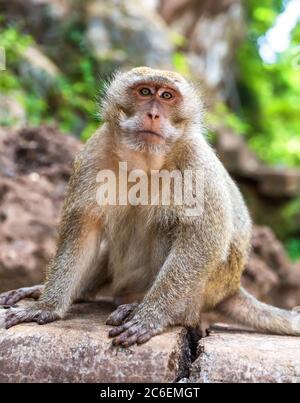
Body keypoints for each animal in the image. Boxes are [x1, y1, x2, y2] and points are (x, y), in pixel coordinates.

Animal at [0, 67, 300, 348]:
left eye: (167, 96)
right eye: (144, 92)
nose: (153, 115)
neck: (144, 162)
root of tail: (232, 287)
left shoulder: (195, 162)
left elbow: (203, 239)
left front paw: (150, 316)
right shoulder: (94, 152)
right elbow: (83, 228)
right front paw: (46, 306)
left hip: (209, 286)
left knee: (167, 225)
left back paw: (158, 310)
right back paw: (75, 293)